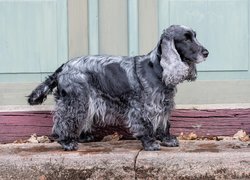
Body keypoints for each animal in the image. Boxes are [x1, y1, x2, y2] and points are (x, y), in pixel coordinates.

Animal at [27, 24, 208, 150]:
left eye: (195, 36)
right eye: (186, 38)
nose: (206, 52)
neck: (157, 69)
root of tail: (63, 66)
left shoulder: (163, 104)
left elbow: (164, 124)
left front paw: (167, 140)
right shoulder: (143, 107)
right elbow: (145, 125)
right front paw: (150, 143)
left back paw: (84, 137)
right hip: (76, 100)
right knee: (63, 122)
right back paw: (67, 143)